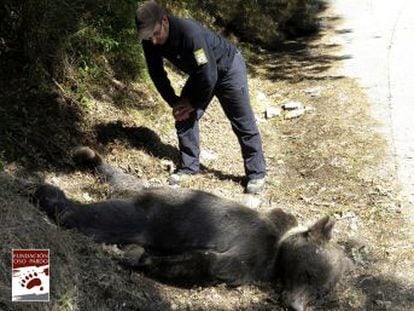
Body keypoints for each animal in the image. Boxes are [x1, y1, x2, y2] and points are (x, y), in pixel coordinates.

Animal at [30, 147, 350, 310]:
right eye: (308, 274)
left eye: (321, 292)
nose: (298, 306)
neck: (279, 247)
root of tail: (133, 195)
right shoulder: (256, 245)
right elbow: (214, 263)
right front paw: (147, 260)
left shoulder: (255, 265)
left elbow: (210, 265)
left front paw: (145, 259)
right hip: (148, 215)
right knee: (95, 218)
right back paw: (49, 192)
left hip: (133, 191)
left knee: (115, 178)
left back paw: (87, 157)